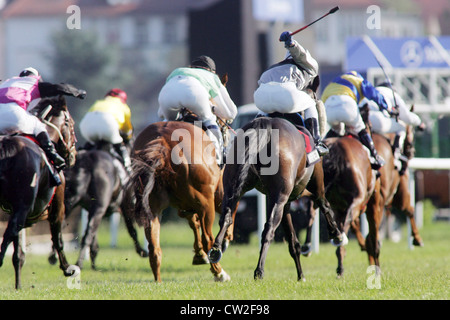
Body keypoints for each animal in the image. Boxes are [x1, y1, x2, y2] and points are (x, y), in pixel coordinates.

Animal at [0, 96, 79, 288]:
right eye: (72, 125)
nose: (73, 155)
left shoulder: (15, 210)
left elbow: (18, 254)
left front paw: (18, 285)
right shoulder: (58, 207)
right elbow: (58, 239)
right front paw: (67, 268)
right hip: (24, 205)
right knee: (9, 231)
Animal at [126, 120, 232, 282]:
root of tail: (162, 143)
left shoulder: (185, 207)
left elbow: (193, 222)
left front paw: (199, 255)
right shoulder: (218, 196)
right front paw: (225, 239)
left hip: (152, 207)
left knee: (154, 248)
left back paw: (158, 281)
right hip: (206, 204)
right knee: (208, 239)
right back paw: (220, 272)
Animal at [207, 117, 344, 280]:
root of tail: (264, 124)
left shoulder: (285, 202)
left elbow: (293, 242)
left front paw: (301, 275)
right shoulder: (308, 190)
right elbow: (324, 204)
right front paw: (336, 234)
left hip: (233, 188)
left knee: (226, 217)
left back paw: (216, 249)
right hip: (281, 196)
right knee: (269, 229)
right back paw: (259, 270)